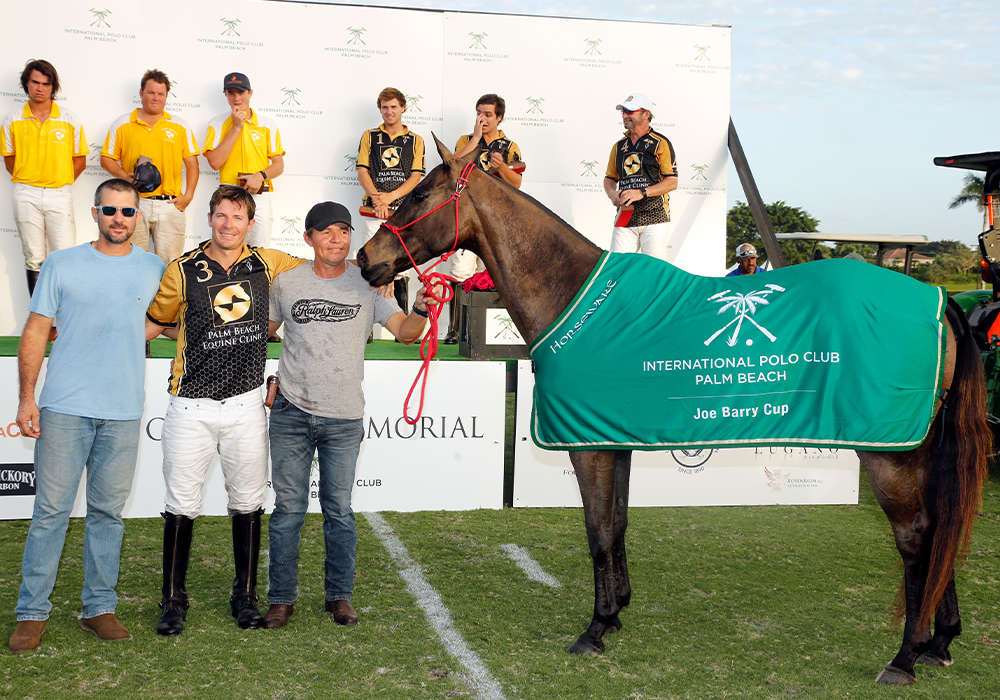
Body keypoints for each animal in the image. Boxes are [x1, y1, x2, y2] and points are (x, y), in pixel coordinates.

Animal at [356, 135, 988, 684]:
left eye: (419, 195)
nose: (366, 257)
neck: (570, 292)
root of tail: (940, 299)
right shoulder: (612, 440)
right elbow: (618, 523)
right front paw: (617, 610)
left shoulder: (588, 448)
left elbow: (596, 529)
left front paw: (594, 629)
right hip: (921, 449)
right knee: (943, 527)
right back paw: (940, 641)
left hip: (890, 454)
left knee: (917, 538)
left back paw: (904, 657)